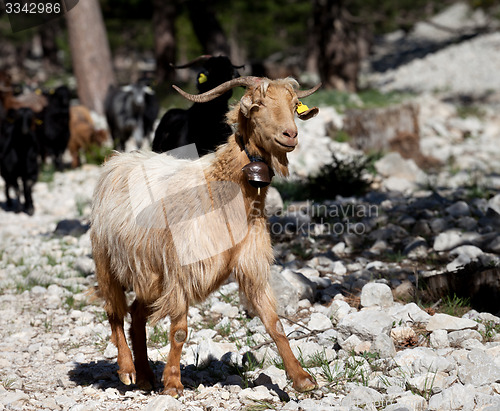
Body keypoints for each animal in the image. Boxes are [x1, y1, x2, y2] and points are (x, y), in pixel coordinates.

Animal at [91, 76, 320, 396]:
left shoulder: (251, 264)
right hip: (106, 260)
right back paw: (127, 370)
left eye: (294, 104)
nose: (290, 134)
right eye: (257, 106)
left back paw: (146, 376)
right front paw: (173, 383)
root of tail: (117, 161)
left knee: (136, 315)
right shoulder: (180, 270)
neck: (220, 190)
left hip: (150, 274)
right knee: (114, 311)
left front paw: (301, 378)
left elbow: (274, 323)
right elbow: (179, 331)